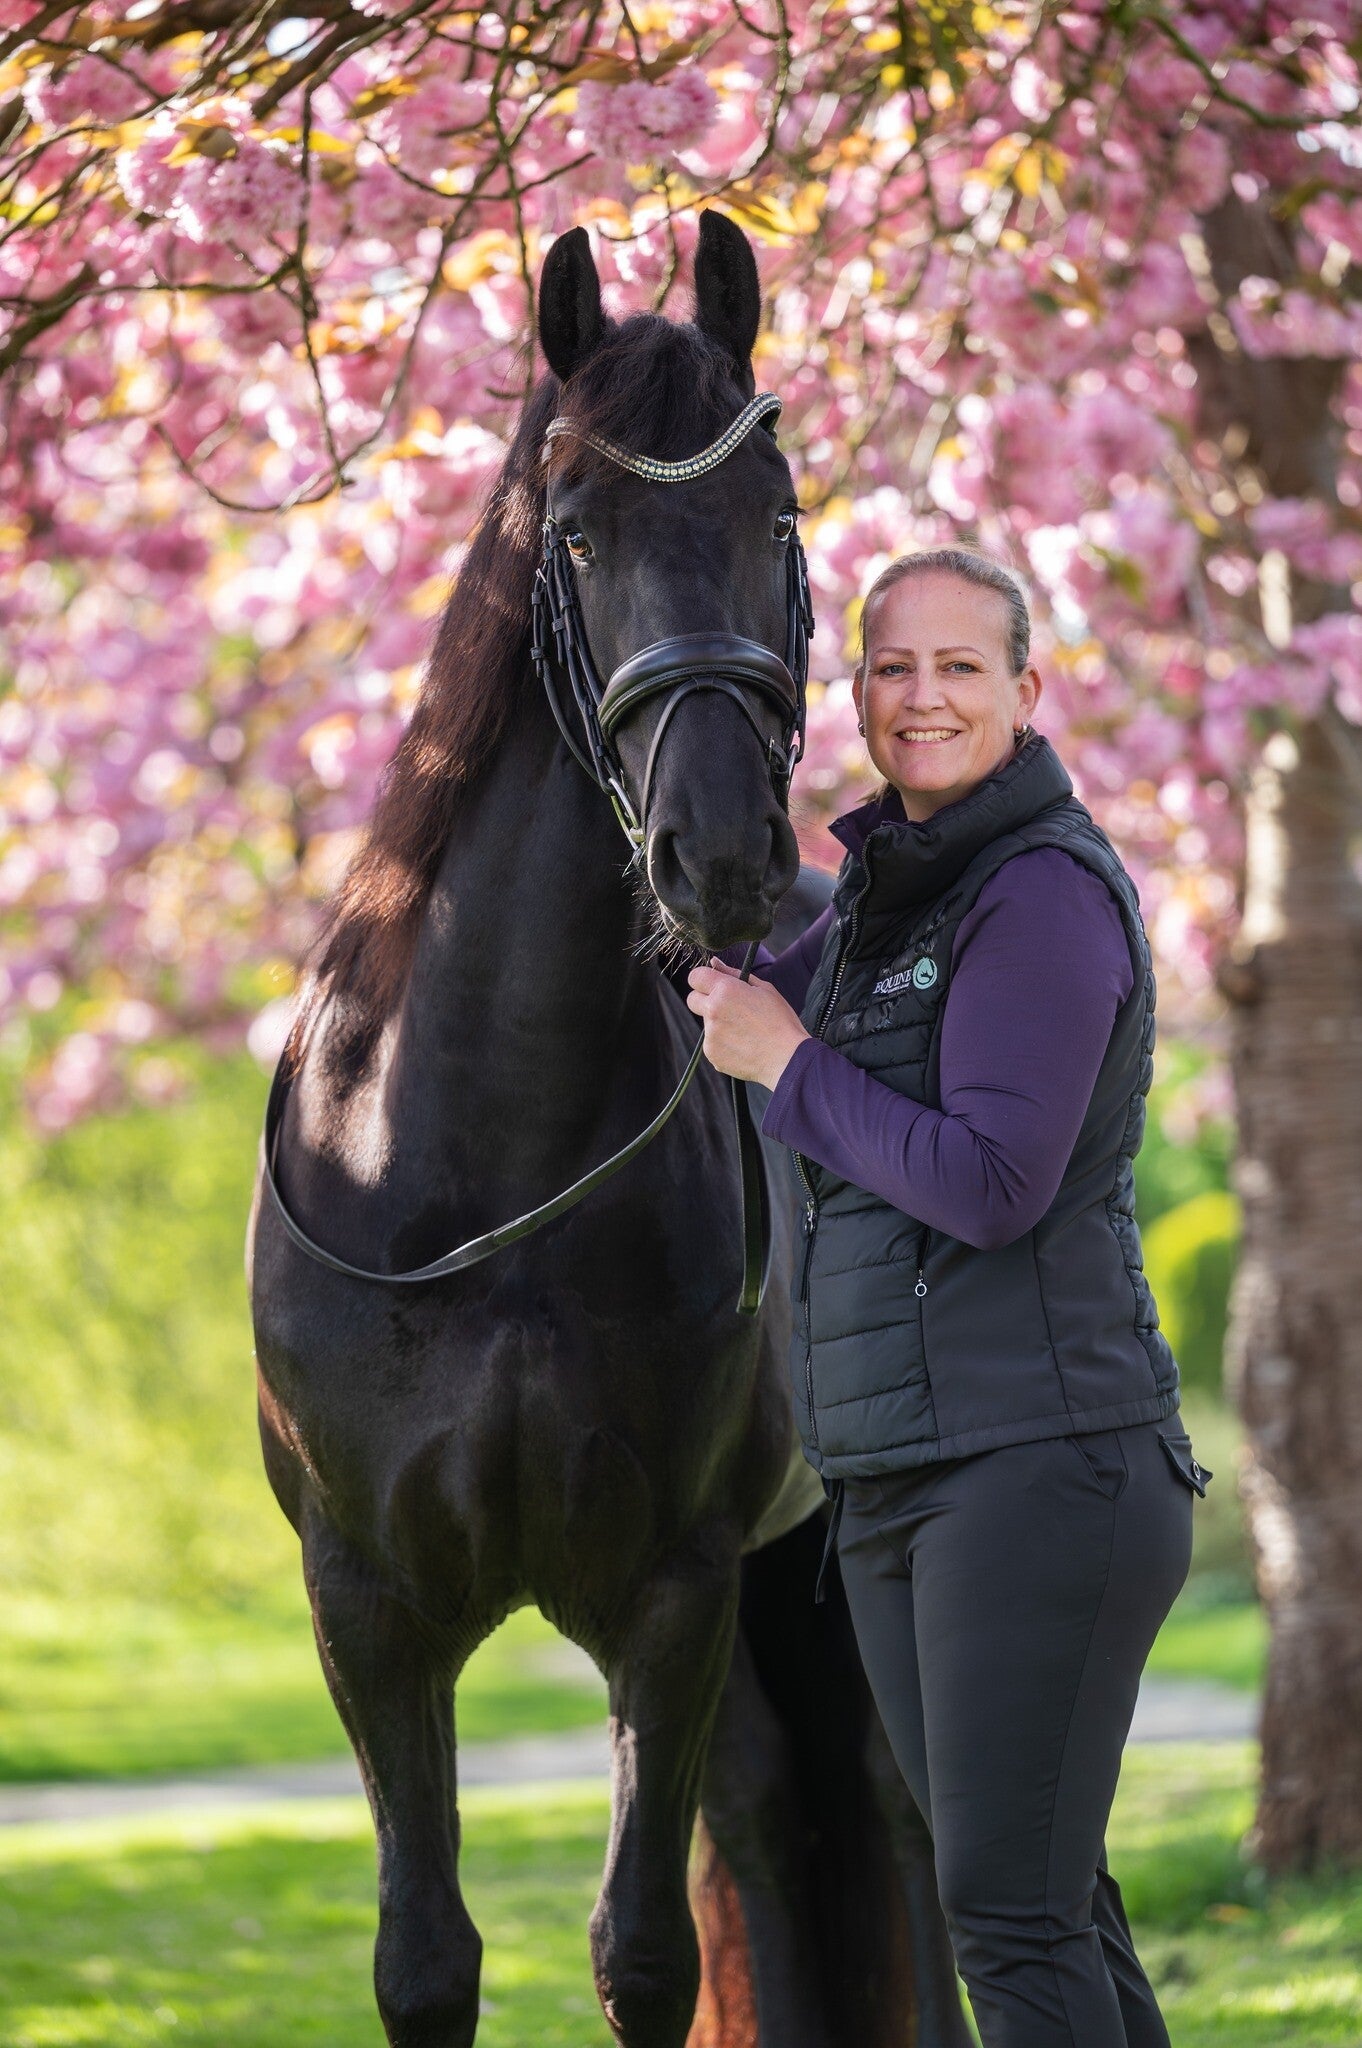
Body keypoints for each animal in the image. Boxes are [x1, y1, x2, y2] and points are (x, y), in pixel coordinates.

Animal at [247, 211, 967, 2048]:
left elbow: (639, 1952)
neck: (472, 1165)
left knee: (905, 1820)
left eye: (776, 515)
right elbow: (426, 1962)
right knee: (781, 1822)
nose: (714, 856)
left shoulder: (670, 1585)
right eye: (573, 531)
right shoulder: (370, 1604)